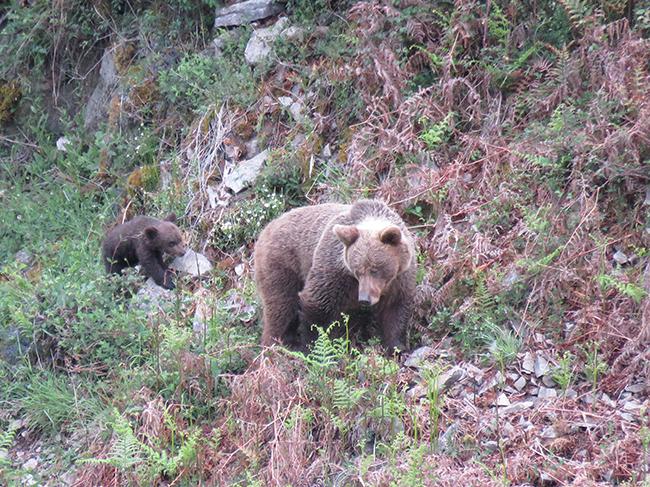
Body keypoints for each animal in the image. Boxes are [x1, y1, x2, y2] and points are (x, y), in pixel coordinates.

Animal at [253, 198, 416, 354]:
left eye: (375, 269)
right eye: (358, 271)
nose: (364, 299)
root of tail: (265, 229)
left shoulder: (400, 279)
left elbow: (395, 311)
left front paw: (396, 348)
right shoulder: (335, 271)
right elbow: (318, 305)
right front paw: (313, 347)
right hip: (281, 264)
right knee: (281, 306)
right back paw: (275, 345)